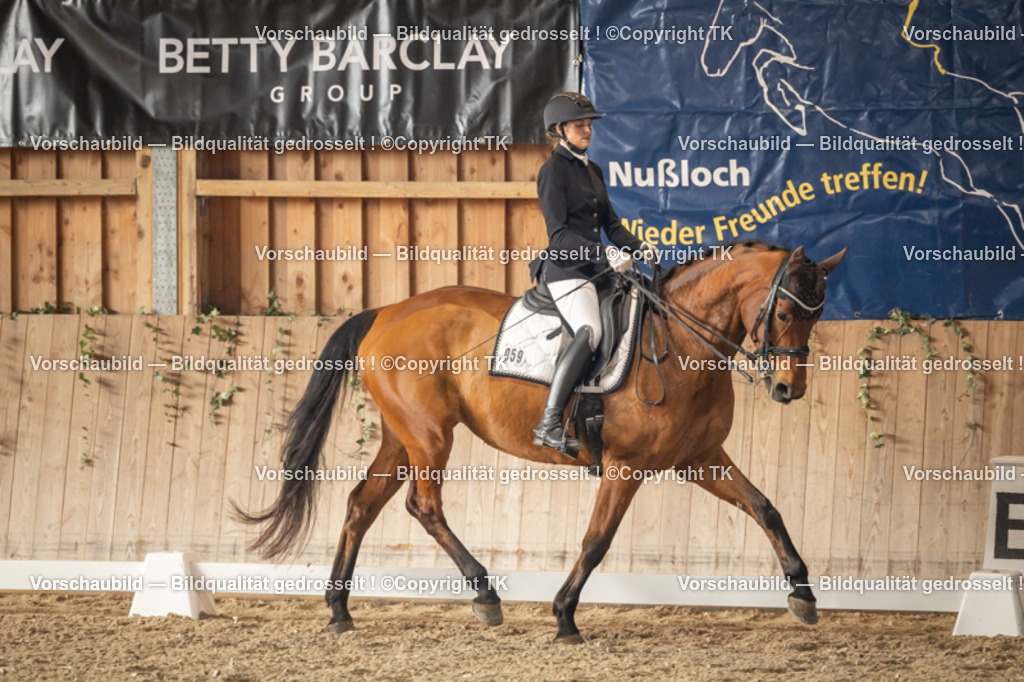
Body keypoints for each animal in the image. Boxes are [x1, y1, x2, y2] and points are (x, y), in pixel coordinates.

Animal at [234, 239, 846, 643]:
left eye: (817, 317)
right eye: (784, 310)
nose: (789, 389)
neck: (676, 341)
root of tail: (386, 311)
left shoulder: (700, 459)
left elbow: (766, 508)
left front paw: (802, 592)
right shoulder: (626, 467)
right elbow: (596, 541)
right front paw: (565, 617)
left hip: (400, 438)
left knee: (362, 504)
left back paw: (339, 610)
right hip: (430, 437)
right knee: (423, 506)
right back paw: (484, 595)